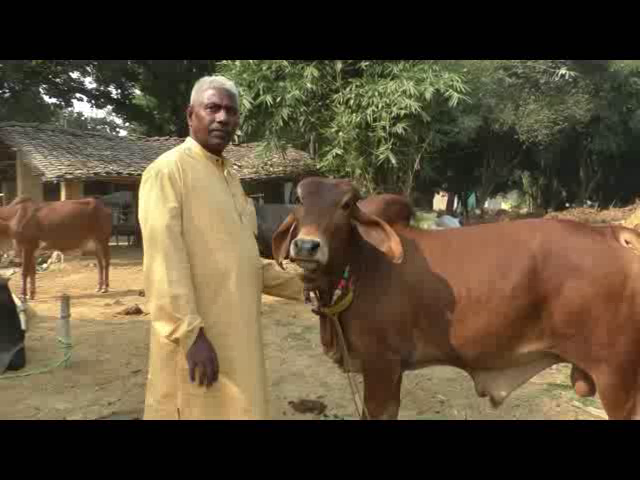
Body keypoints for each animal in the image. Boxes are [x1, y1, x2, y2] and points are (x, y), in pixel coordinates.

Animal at [272, 177, 640, 420]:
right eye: (300, 199)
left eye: (346, 205)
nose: (306, 246)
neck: (361, 264)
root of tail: (612, 233)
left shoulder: (382, 366)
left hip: (617, 378)